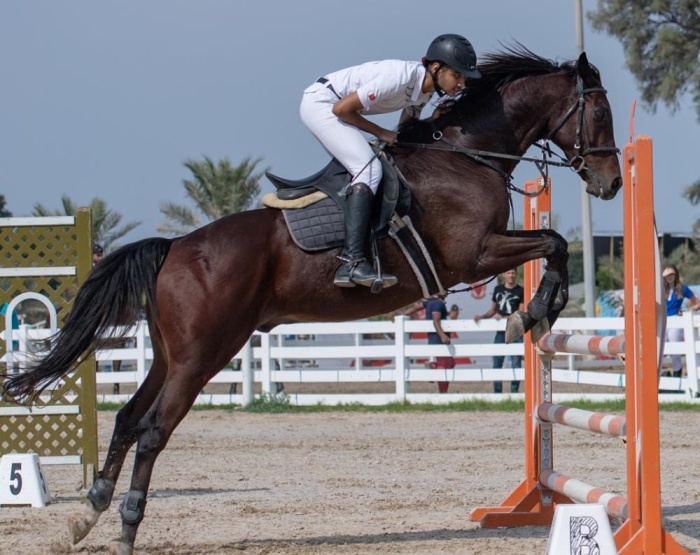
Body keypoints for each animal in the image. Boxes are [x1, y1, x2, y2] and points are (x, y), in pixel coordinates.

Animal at [2, 45, 620, 552]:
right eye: (599, 113)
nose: (611, 183)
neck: (468, 154)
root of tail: (175, 247)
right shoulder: (473, 255)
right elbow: (555, 242)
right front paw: (534, 312)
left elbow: (553, 243)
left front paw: (533, 314)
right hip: (203, 354)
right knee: (153, 429)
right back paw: (127, 528)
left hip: (170, 354)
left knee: (130, 418)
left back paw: (89, 513)